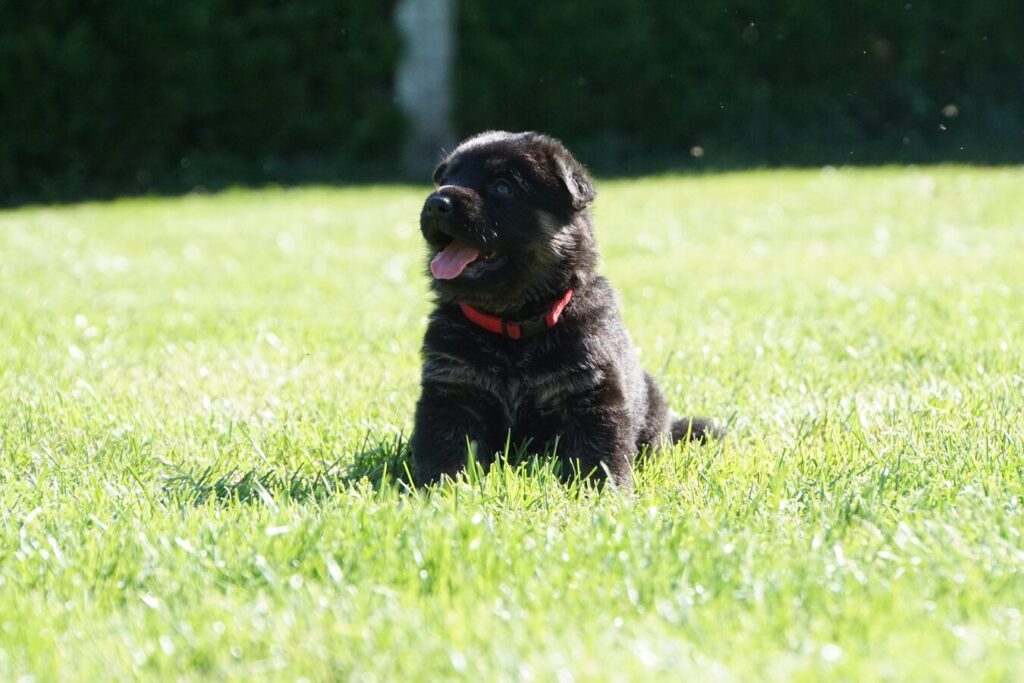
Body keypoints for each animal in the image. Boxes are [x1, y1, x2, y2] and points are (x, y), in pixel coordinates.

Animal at [411, 131, 720, 488]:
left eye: (502, 186)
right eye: (448, 178)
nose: (436, 203)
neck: (512, 325)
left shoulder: (593, 392)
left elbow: (599, 454)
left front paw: (602, 492)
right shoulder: (451, 389)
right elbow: (446, 449)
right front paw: (441, 489)